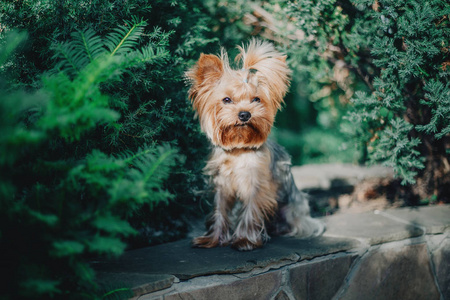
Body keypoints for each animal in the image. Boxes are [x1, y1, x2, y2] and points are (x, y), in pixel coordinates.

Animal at [185, 39, 324, 251]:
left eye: (256, 99)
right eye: (226, 100)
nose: (244, 114)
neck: (238, 149)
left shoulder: (256, 184)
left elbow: (250, 211)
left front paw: (244, 240)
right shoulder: (222, 185)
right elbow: (220, 210)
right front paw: (213, 239)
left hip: (292, 209)